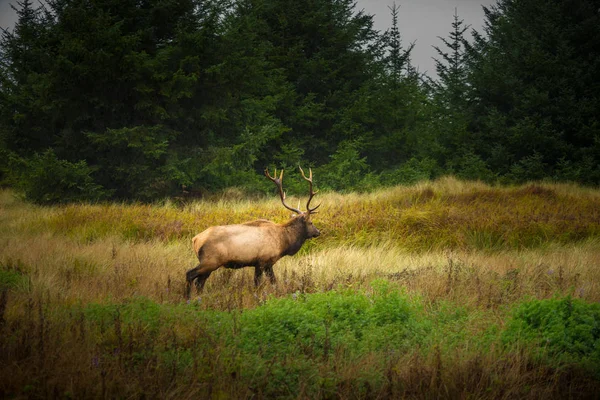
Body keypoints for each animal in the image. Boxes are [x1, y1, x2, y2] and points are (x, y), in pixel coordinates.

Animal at [185, 166, 322, 296]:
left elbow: (273, 282)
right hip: (210, 261)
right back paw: (188, 298)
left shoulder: (267, 264)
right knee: (190, 275)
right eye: (311, 222)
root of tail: (195, 239)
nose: (318, 232)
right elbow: (258, 285)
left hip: (209, 264)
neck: (283, 242)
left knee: (200, 282)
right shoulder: (262, 261)